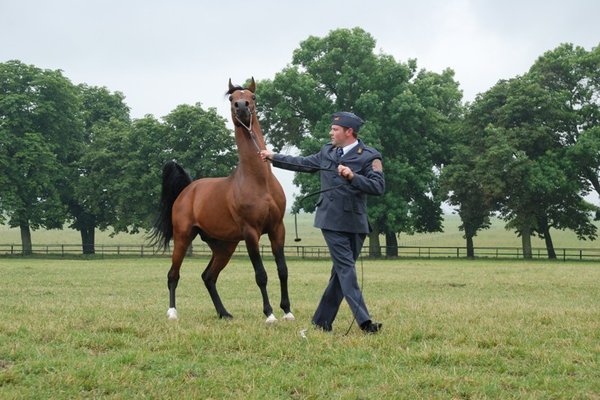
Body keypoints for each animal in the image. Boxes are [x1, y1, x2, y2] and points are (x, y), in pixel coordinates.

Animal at [151, 79, 294, 324]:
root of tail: (188, 189)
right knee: (173, 274)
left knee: (208, 276)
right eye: (231, 98)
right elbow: (261, 275)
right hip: (183, 237)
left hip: (224, 246)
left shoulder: (277, 229)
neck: (259, 181)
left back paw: (224, 313)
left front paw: (287, 311)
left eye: (252, 97)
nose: (242, 107)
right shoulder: (251, 233)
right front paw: (269, 314)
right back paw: (172, 312)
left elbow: (282, 270)